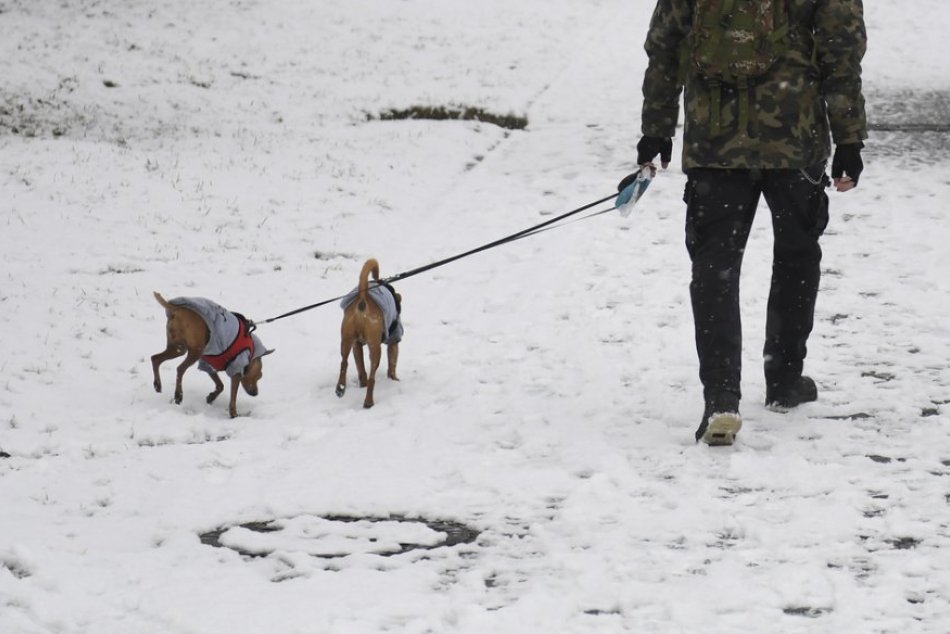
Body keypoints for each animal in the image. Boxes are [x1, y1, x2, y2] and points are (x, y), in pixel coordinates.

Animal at [151, 292, 274, 420]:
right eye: (259, 376)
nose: (255, 393)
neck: (252, 351)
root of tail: (176, 308)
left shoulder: (209, 364)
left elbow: (220, 385)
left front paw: (212, 397)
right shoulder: (236, 371)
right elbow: (232, 397)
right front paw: (234, 414)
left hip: (177, 349)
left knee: (155, 358)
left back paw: (157, 384)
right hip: (195, 351)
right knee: (180, 369)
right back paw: (178, 394)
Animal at [336, 260, 404, 408]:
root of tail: (363, 298)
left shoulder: (356, 345)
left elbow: (361, 368)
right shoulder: (394, 341)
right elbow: (392, 364)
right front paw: (394, 379)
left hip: (347, 339)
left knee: (344, 363)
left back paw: (341, 388)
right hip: (375, 348)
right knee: (372, 377)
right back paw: (368, 401)